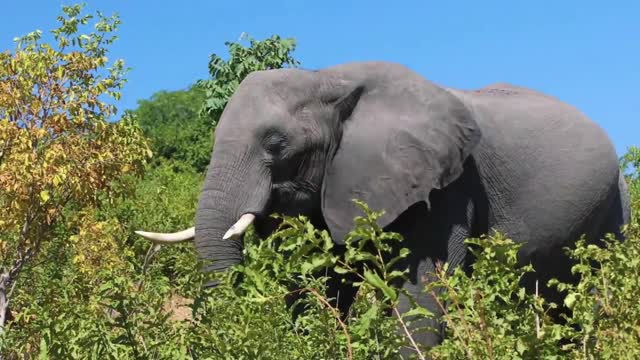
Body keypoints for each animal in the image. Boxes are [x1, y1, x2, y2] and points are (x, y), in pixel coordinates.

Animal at [135, 62, 632, 354]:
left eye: (276, 143)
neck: (328, 79)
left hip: (614, 211)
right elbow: (321, 285)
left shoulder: (446, 189)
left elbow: (420, 294)